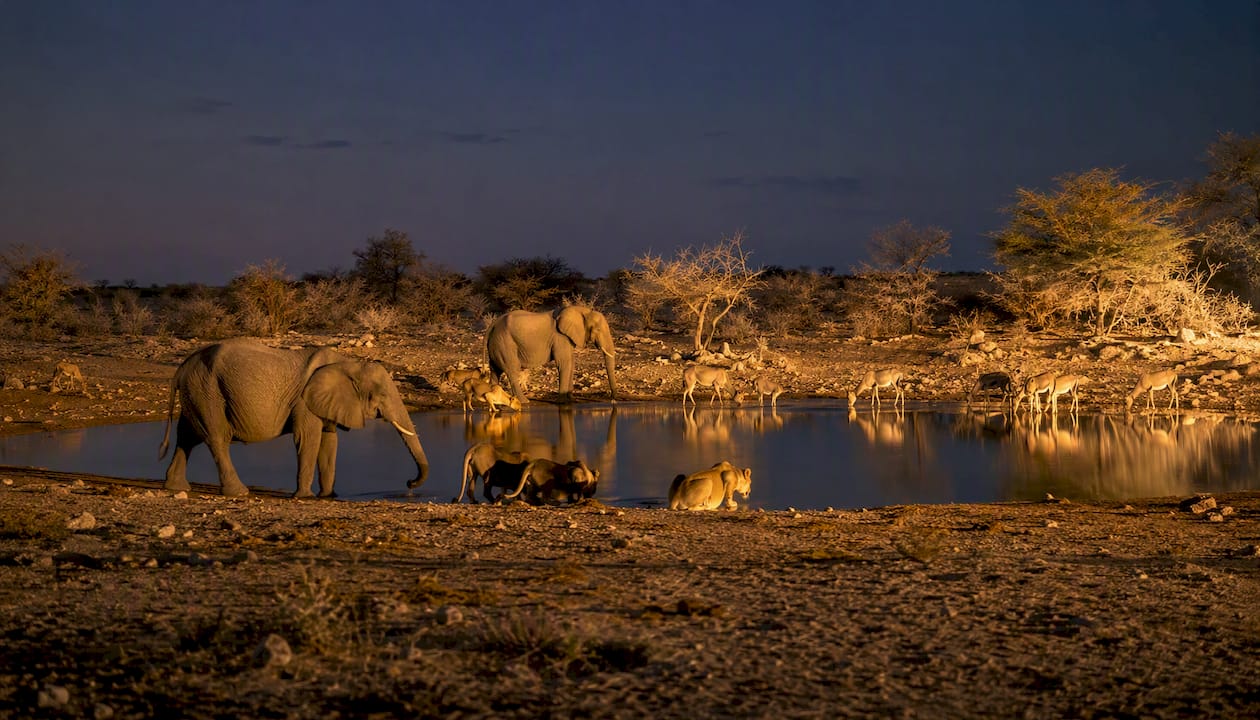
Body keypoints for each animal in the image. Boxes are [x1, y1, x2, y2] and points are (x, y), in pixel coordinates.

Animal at [158, 338, 430, 498]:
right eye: (381, 395)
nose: (408, 484)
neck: (348, 363)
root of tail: (182, 367)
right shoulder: (304, 402)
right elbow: (308, 439)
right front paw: (305, 497)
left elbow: (329, 443)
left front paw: (328, 497)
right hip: (208, 391)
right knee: (216, 438)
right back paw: (239, 493)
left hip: (197, 391)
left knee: (187, 436)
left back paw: (176, 488)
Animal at [485, 306, 617, 405]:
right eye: (598, 329)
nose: (613, 400)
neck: (582, 310)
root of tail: (493, 324)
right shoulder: (560, 337)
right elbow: (564, 363)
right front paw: (563, 402)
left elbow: (571, 362)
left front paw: (571, 399)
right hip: (505, 343)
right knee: (512, 370)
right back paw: (525, 401)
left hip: (496, 343)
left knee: (495, 370)